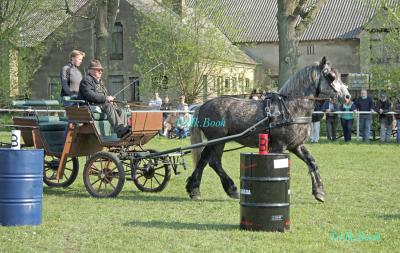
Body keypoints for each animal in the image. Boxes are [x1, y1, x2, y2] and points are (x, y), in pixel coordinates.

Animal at [186, 56, 348, 202]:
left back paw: (194, 189)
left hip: (215, 141)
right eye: (331, 76)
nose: (347, 97)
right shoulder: (279, 146)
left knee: (205, 160)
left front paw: (319, 192)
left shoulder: (296, 145)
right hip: (217, 140)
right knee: (213, 162)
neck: (291, 108)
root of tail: (202, 105)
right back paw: (230, 189)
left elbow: (312, 162)